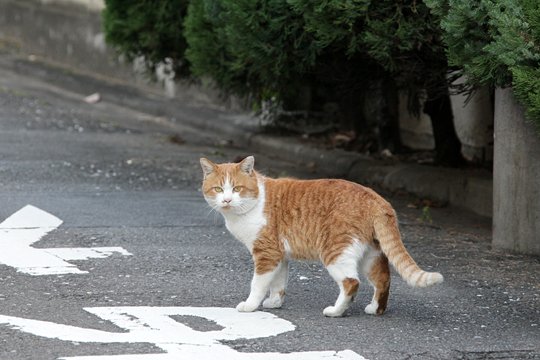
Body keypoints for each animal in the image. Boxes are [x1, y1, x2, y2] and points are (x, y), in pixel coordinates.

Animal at [199, 156, 442, 316]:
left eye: (237, 188)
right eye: (218, 189)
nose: (227, 200)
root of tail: (377, 199)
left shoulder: (266, 254)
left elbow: (258, 284)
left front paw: (250, 305)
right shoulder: (279, 255)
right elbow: (278, 283)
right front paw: (275, 302)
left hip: (336, 252)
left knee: (351, 282)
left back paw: (336, 311)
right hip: (370, 254)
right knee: (383, 279)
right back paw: (375, 309)